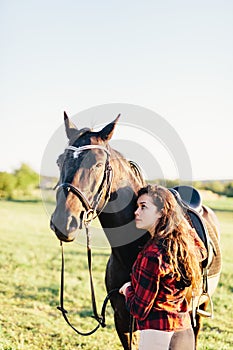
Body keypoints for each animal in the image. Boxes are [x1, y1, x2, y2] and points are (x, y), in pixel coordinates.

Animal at [50, 113, 221, 348]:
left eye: (97, 163)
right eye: (59, 161)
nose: (63, 221)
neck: (133, 249)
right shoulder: (122, 320)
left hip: (199, 308)